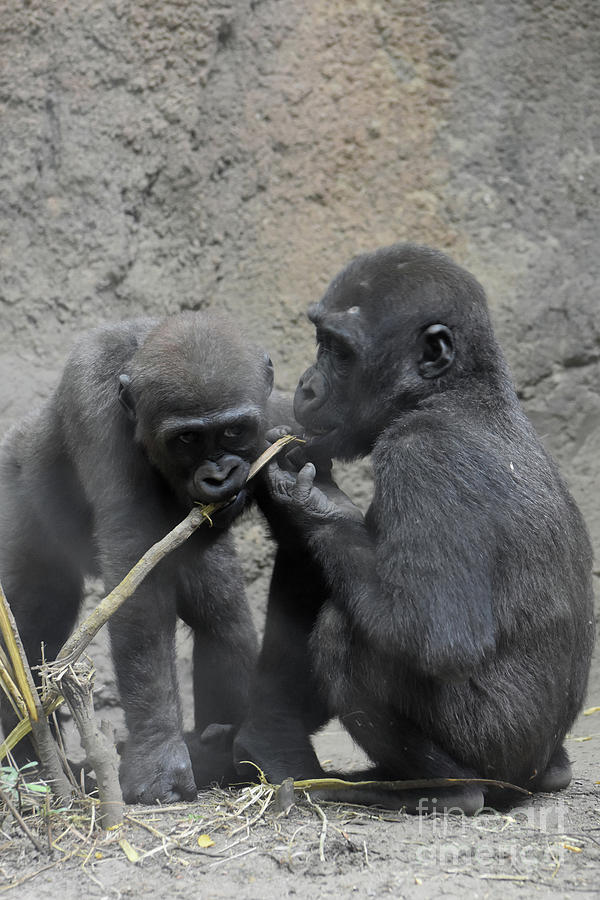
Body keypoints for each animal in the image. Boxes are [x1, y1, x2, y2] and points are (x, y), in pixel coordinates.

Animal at [0, 310, 282, 800]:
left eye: (233, 430)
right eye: (187, 438)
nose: (219, 475)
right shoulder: (95, 401)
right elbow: (136, 573)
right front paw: (158, 753)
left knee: (223, 618)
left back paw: (225, 752)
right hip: (15, 485)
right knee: (31, 622)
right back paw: (31, 762)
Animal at [234, 243, 596, 812]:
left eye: (339, 350)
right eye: (320, 341)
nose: (307, 386)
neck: (450, 393)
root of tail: (535, 771)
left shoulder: (422, 457)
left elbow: (432, 631)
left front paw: (312, 504)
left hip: (495, 749)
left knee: (345, 636)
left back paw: (450, 791)